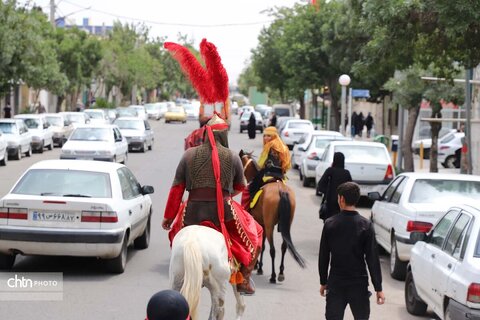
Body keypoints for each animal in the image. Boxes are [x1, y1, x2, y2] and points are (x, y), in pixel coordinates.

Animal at [239, 150, 306, 282]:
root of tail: (281, 190)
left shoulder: (261, 224)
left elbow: (261, 244)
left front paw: (257, 266)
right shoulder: (263, 224)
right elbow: (263, 245)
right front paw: (258, 266)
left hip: (270, 225)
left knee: (273, 249)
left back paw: (273, 276)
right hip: (285, 224)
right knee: (284, 247)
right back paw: (280, 273)